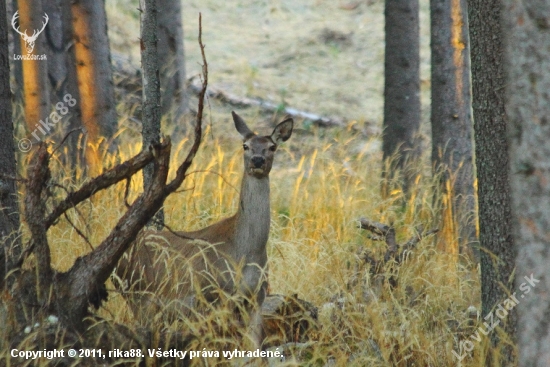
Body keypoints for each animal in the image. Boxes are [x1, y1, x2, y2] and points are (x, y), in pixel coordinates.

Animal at [115, 112, 294, 348]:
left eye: (272, 146)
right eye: (245, 145)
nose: (257, 160)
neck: (245, 252)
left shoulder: (257, 296)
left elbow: (253, 347)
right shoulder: (213, 295)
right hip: (140, 296)